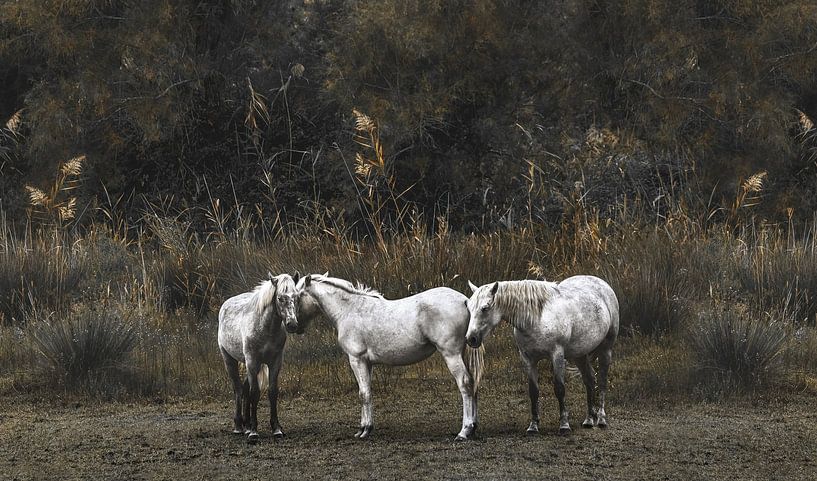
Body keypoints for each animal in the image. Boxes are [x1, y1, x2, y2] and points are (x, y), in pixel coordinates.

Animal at [217, 272, 300, 441]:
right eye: (280, 298)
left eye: (295, 296)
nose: (292, 325)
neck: (266, 327)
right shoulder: (252, 361)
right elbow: (254, 393)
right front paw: (254, 432)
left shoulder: (275, 362)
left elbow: (272, 392)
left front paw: (276, 429)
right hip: (230, 360)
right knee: (238, 389)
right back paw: (239, 426)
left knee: (244, 389)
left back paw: (247, 425)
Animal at [296, 274, 484, 441]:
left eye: (297, 296)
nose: (295, 326)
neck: (349, 310)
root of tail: (465, 301)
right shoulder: (367, 363)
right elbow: (368, 391)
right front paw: (364, 428)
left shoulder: (357, 359)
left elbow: (363, 393)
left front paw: (365, 430)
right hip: (461, 354)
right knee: (472, 384)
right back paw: (473, 428)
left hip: (451, 355)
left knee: (465, 384)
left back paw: (464, 431)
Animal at [464, 276, 618, 435]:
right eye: (468, 307)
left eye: (485, 308)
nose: (471, 339)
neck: (536, 318)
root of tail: (601, 283)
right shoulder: (528, 359)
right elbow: (533, 391)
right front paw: (533, 426)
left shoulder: (557, 355)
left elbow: (559, 389)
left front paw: (564, 425)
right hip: (579, 354)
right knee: (589, 379)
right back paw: (589, 420)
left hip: (606, 349)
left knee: (602, 381)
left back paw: (601, 419)